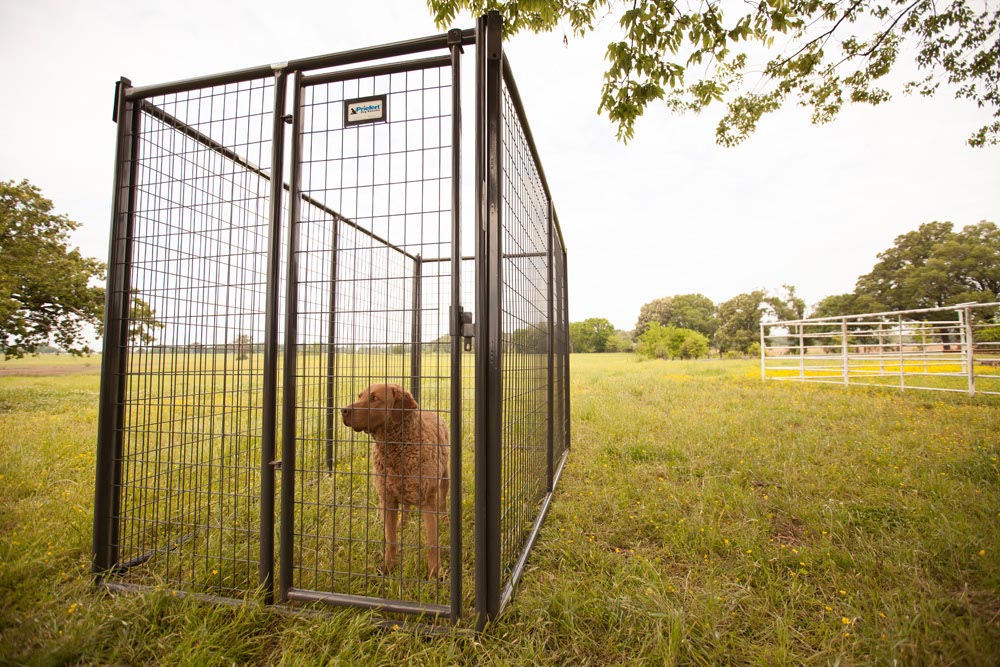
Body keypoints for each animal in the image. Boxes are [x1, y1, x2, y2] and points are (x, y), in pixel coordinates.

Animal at [342, 386, 452, 580]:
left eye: (375, 398)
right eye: (360, 396)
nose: (343, 410)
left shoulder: (428, 501)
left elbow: (432, 543)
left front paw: (434, 574)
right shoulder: (387, 500)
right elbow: (391, 539)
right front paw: (388, 568)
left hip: (444, 477)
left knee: (443, 500)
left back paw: (445, 520)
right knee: (406, 506)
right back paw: (403, 523)